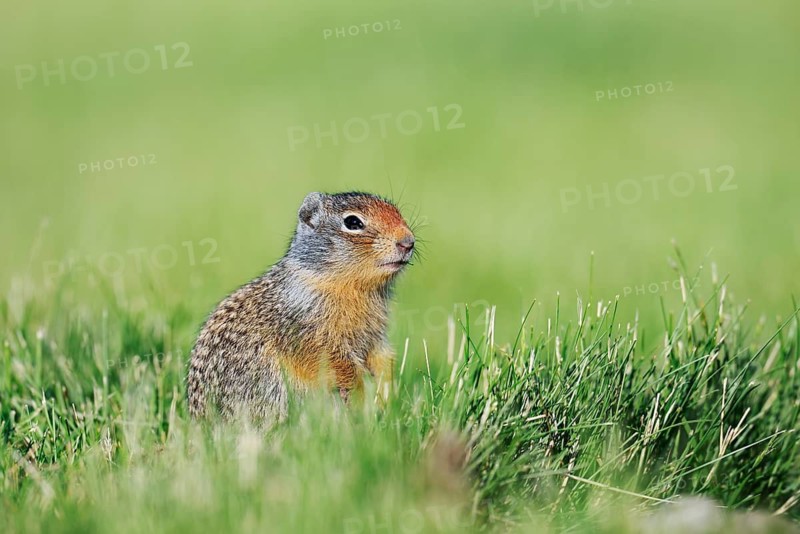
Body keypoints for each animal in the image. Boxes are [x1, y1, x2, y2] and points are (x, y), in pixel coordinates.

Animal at [187, 191, 416, 421]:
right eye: (353, 222)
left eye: (397, 211)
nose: (408, 242)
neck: (352, 287)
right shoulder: (310, 335)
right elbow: (341, 366)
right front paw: (363, 397)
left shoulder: (376, 336)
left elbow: (383, 358)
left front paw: (385, 395)